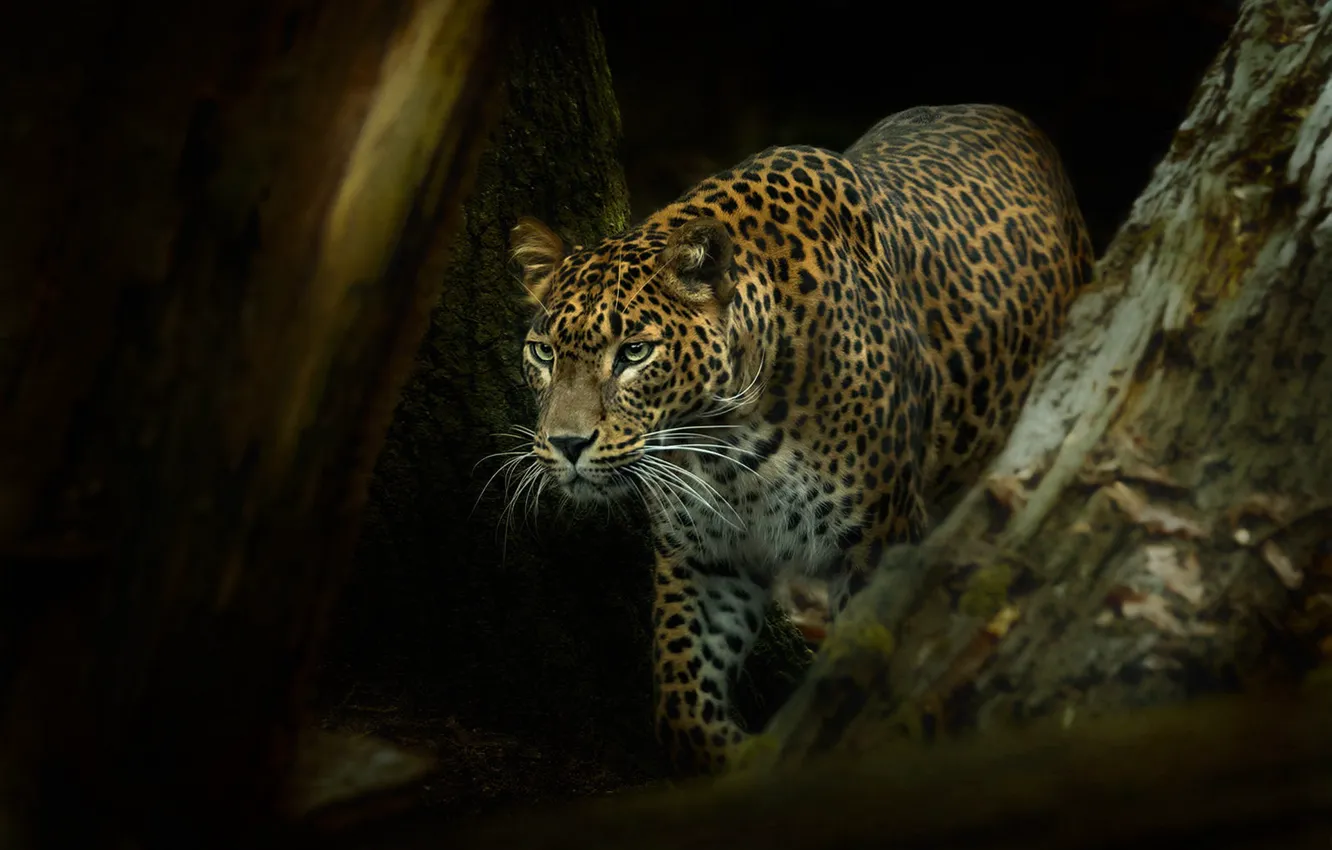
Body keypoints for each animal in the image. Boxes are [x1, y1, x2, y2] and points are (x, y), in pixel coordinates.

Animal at [507, 104, 1095, 776]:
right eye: (543, 353)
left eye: (634, 352)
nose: (566, 444)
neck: (726, 443)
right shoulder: (705, 555)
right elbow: (681, 704)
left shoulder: (877, 544)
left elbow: (854, 679)